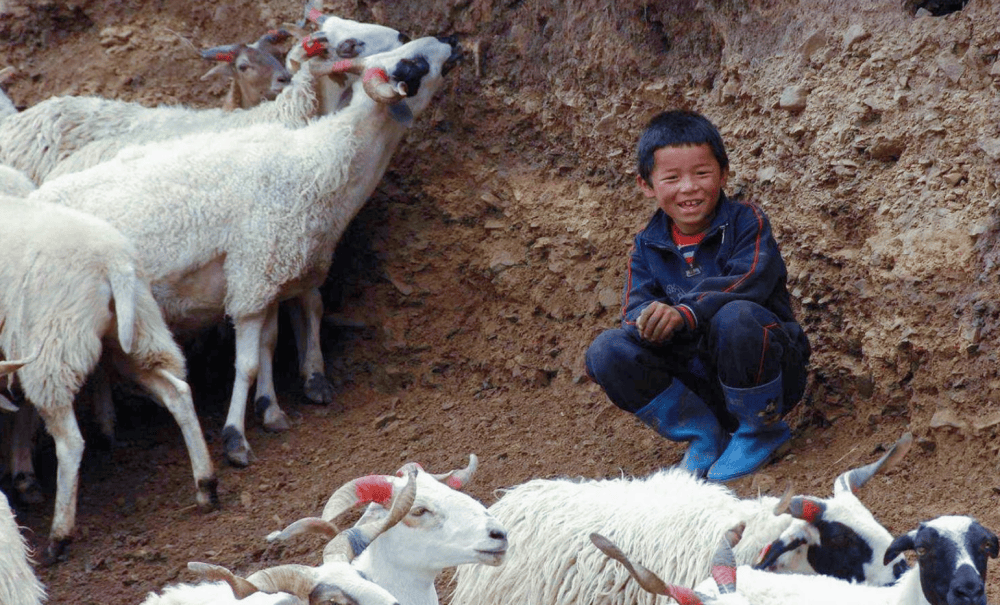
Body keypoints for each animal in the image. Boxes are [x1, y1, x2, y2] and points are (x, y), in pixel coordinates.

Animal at [0, 195, 218, 560]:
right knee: (178, 392)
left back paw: (59, 537)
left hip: (54, 344)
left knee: (70, 441)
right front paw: (24, 478)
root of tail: (114, 262)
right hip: (137, 333)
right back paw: (207, 485)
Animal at [27, 34, 464, 468]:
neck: (319, 162)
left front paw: (270, 409)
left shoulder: (265, 276)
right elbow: (248, 363)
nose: (451, 41)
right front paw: (236, 438)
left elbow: (269, 343)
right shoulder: (252, 281)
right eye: (413, 65)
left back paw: (105, 429)